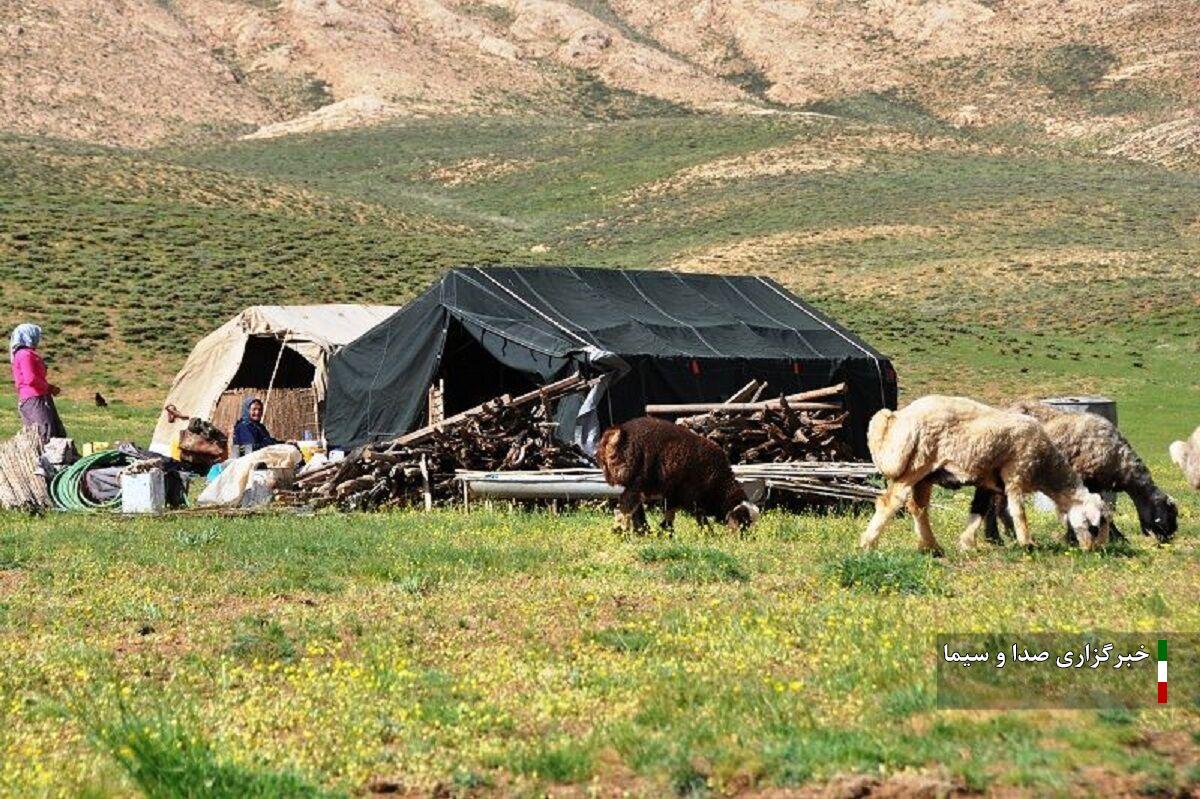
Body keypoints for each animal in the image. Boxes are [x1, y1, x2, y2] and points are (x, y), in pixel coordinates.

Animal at [600, 412, 758, 532]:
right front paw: (708, 533)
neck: (719, 483)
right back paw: (624, 531)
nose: (743, 539)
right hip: (637, 478)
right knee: (627, 504)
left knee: (634, 505)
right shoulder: (691, 495)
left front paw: (665, 531)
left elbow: (670, 513)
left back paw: (642, 531)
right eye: (743, 523)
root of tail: (616, 433)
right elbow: (699, 516)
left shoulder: (674, 493)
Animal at [859, 393, 1108, 554]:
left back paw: (932, 547)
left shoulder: (987, 481)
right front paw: (1027, 543)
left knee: (918, 508)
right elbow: (1018, 511)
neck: (1045, 467)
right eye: (1094, 527)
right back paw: (868, 544)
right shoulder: (1016, 472)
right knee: (890, 502)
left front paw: (967, 544)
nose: (1093, 551)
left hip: (926, 474)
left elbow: (978, 510)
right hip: (917, 463)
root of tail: (899, 418)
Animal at [979, 400, 1176, 544]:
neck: (1119, 461)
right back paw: (997, 537)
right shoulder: (1082, 478)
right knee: (995, 505)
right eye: (1168, 514)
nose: (1168, 538)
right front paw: (1076, 538)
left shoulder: (1095, 484)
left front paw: (1111, 535)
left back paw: (1003, 535)